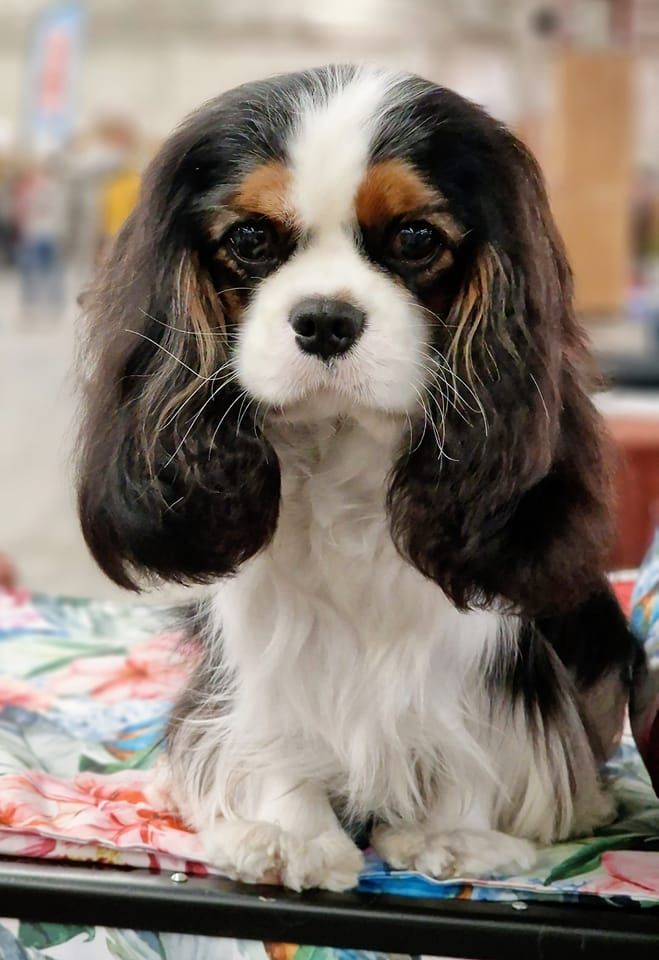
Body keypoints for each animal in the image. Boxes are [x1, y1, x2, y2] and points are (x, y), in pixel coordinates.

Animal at [76, 65, 637, 891]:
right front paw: (288, 832)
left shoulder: (480, 632)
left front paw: (456, 831)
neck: (342, 444)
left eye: (414, 238)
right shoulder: (267, 633)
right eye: (249, 238)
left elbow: (477, 724)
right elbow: (277, 720)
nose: (324, 318)